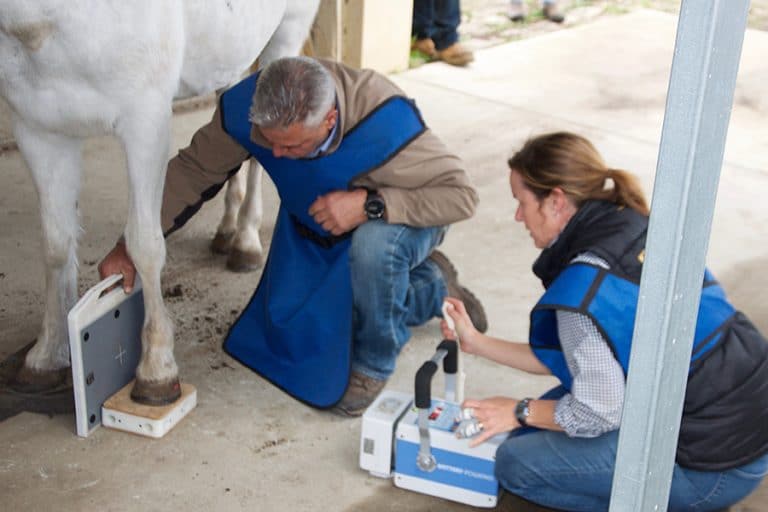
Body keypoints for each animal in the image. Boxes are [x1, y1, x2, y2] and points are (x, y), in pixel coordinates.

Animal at [0, 1, 318, 404]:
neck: (44, 21)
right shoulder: (39, 130)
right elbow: (56, 246)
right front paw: (46, 356)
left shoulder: (144, 122)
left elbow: (144, 245)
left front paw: (156, 369)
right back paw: (226, 230)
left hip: (285, 37)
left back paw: (246, 240)